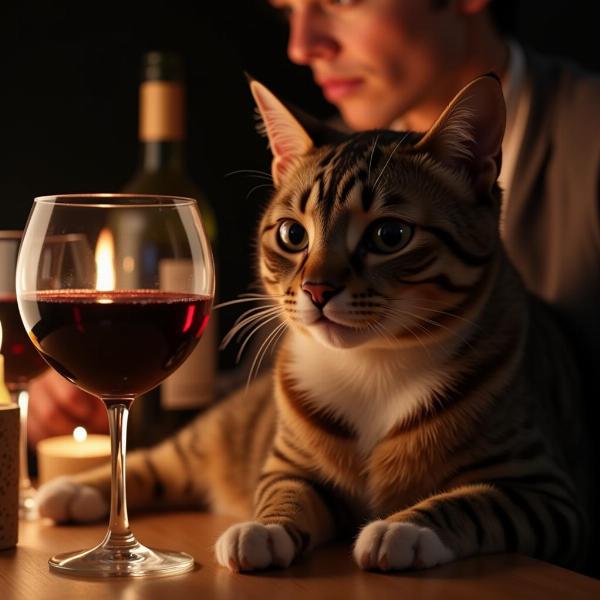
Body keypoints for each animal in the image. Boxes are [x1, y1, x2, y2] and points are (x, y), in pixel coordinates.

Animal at [38, 74, 592, 572]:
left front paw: (406, 528)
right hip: (222, 427)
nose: (318, 290)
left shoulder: (542, 490)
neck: (373, 366)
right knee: (162, 458)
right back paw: (70, 491)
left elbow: (471, 502)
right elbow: (285, 491)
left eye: (390, 235)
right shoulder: (290, 464)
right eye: (291, 234)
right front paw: (265, 528)